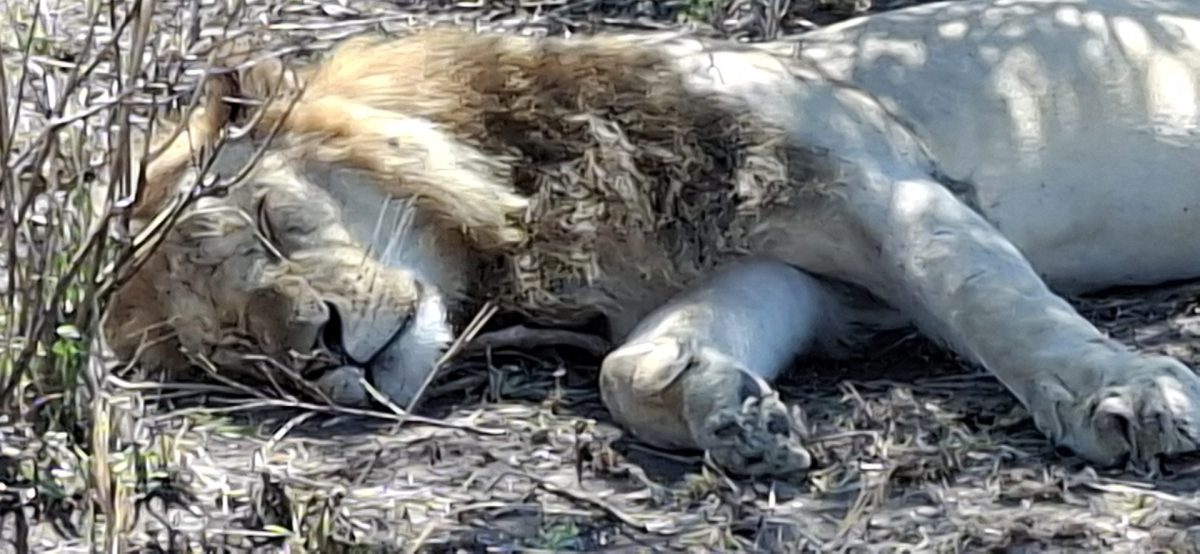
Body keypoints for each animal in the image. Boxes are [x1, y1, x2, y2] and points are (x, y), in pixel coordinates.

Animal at [105, 0, 1200, 477]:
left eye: (266, 217)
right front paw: (731, 416)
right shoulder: (784, 271)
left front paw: (1124, 394)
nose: (320, 347)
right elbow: (628, 367)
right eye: (237, 352)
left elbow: (991, 301)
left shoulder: (871, 178)